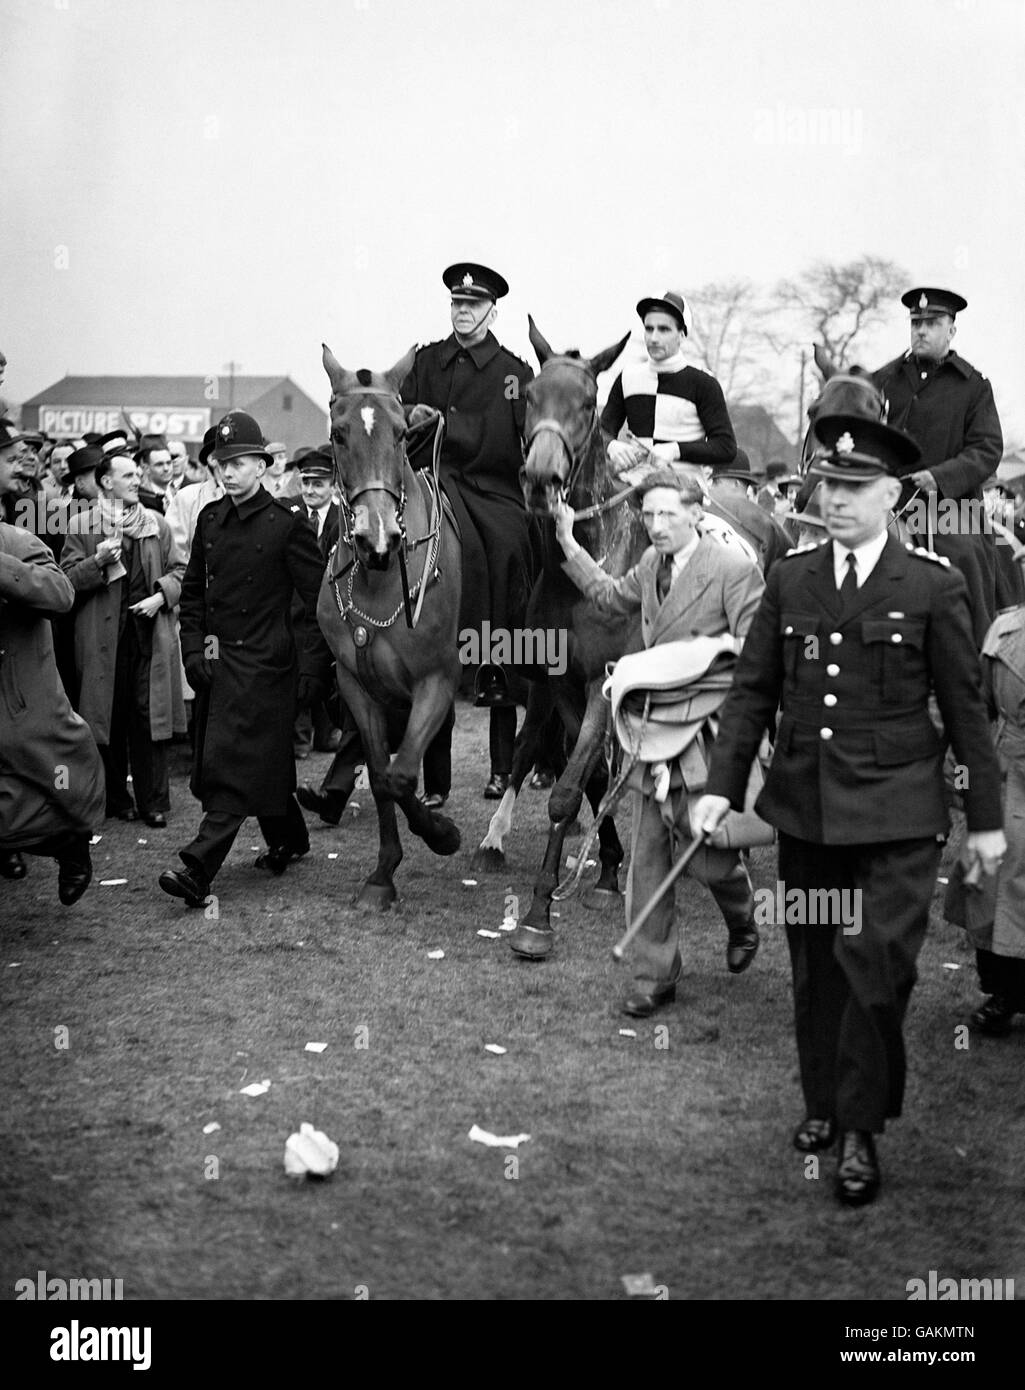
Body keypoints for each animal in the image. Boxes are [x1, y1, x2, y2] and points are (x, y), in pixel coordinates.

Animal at [318, 346, 461, 906]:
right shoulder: (355, 684)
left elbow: (401, 777)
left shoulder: (436, 682)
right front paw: (383, 875)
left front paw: (443, 836)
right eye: (338, 434)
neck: (379, 579)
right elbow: (382, 777)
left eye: (402, 433)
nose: (376, 540)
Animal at [467, 319, 642, 961]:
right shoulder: (562, 685)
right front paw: (606, 870)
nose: (542, 479)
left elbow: (570, 790)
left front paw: (538, 919)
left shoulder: (603, 685)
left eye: (588, 402)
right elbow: (583, 778)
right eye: (531, 396)